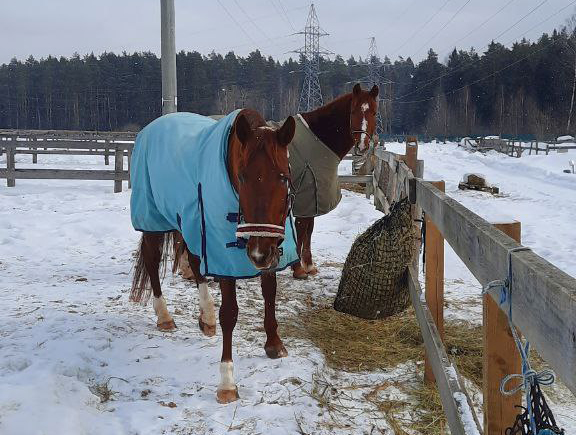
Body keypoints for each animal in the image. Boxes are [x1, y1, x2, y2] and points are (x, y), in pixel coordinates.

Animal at [130, 110, 296, 406]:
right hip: (153, 221)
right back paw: (164, 317)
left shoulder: (269, 248)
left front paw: (274, 343)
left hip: (191, 222)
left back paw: (206, 318)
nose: (258, 254)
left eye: (283, 176)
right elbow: (229, 313)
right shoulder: (223, 253)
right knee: (152, 260)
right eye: (242, 177)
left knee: (195, 263)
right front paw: (227, 383)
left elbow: (270, 293)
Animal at [290, 82, 380, 280]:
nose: (362, 145)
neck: (317, 139)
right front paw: (298, 268)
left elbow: (309, 228)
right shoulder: (305, 194)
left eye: (374, 112)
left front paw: (309, 265)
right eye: (353, 111)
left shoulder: (314, 196)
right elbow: (301, 227)